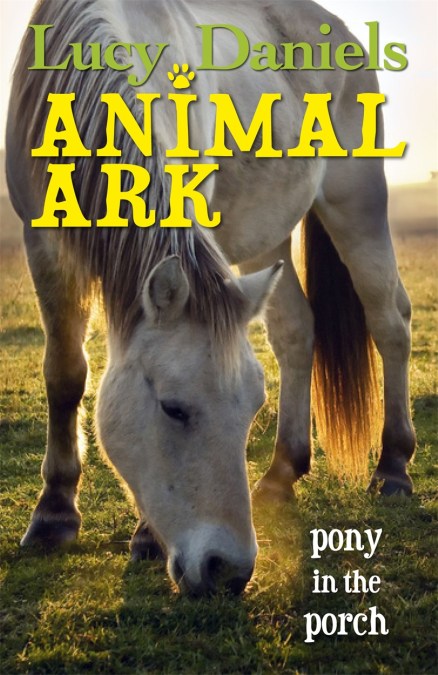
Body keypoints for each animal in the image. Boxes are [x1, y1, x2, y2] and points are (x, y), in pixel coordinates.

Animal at [6, 0, 416, 596]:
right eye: (173, 408)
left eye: (251, 408)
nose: (229, 569)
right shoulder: (43, 241)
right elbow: (64, 374)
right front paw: (54, 515)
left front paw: (144, 538)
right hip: (268, 240)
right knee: (296, 332)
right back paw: (282, 473)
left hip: (356, 204)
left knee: (390, 322)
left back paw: (394, 467)